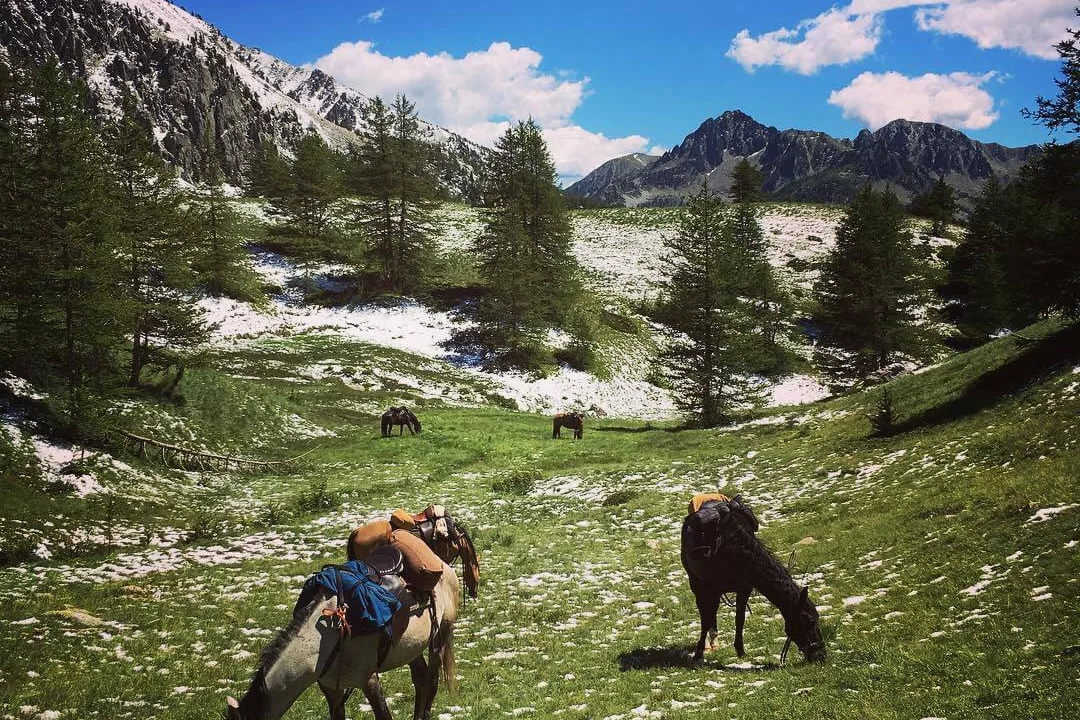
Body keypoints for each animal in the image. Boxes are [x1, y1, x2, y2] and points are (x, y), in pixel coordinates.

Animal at [227, 565, 460, 716]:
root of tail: (445, 567)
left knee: (430, 685)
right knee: (420, 680)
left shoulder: (369, 681)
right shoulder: (332, 690)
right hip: (412, 649)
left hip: (438, 638)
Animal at [682, 496, 825, 664]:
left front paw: (740, 651)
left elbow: (740, 619)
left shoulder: (744, 589)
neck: (736, 551)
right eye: (809, 621)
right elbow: (705, 619)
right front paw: (698, 655)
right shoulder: (709, 586)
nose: (821, 655)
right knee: (706, 612)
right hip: (696, 583)